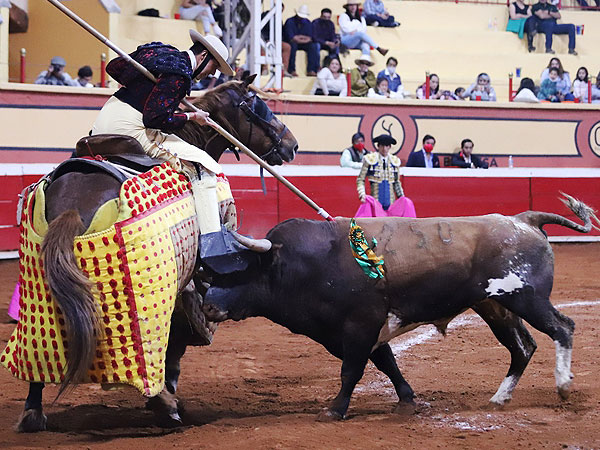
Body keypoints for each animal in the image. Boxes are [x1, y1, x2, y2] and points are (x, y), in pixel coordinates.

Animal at [17, 76, 298, 432]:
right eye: (258, 105)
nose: (292, 145)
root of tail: (73, 204)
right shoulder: (184, 282)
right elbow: (177, 339)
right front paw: (169, 395)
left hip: (40, 286)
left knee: (38, 347)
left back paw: (33, 411)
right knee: (148, 345)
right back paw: (163, 403)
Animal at [204, 194, 596, 422]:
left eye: (240, 268)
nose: (207, 306)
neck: (307, 264)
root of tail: (522, 219)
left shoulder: (360, 325)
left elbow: (352, 371)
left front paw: (334, 409)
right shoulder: (364, 329)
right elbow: (387, 363)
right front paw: (407, 400)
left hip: (527, 298)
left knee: (562, 328)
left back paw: (563, 386)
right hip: (496, 306)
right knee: (523, 347)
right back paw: (500, 398)